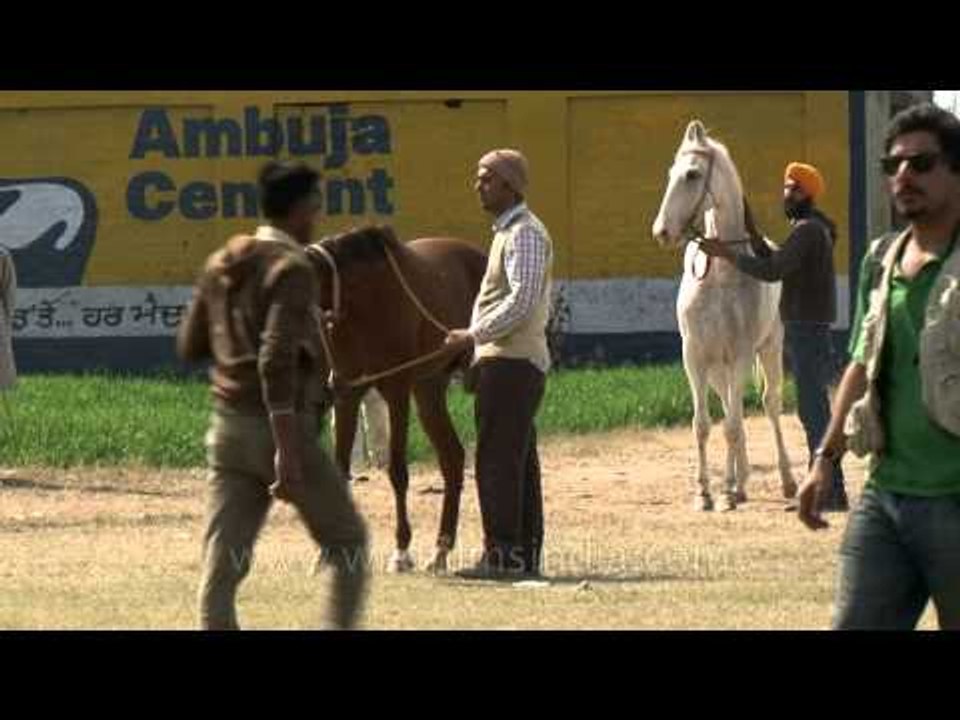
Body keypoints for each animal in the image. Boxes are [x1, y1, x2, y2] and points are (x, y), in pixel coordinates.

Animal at [306, 225, 487, 572]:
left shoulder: (397, 392)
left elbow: (398, 472)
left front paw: (401, 551)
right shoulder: (347, 394)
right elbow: (340, 469)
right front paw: (328, 554)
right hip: (429, 389)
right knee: (453, 458)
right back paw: (441, 550)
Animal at [651, 120, 797, 511]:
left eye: (692, 174)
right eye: (670, 172)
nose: (661, 232)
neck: (719, 272)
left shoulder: (742, 354)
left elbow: (732, 425)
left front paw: (728, 492)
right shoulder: (694, 356)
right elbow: (704, 424)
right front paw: (704, 493)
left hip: (768, 351)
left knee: (769, 406)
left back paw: (781, 481)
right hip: (718, 369)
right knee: (732, 410)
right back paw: (739, 479)